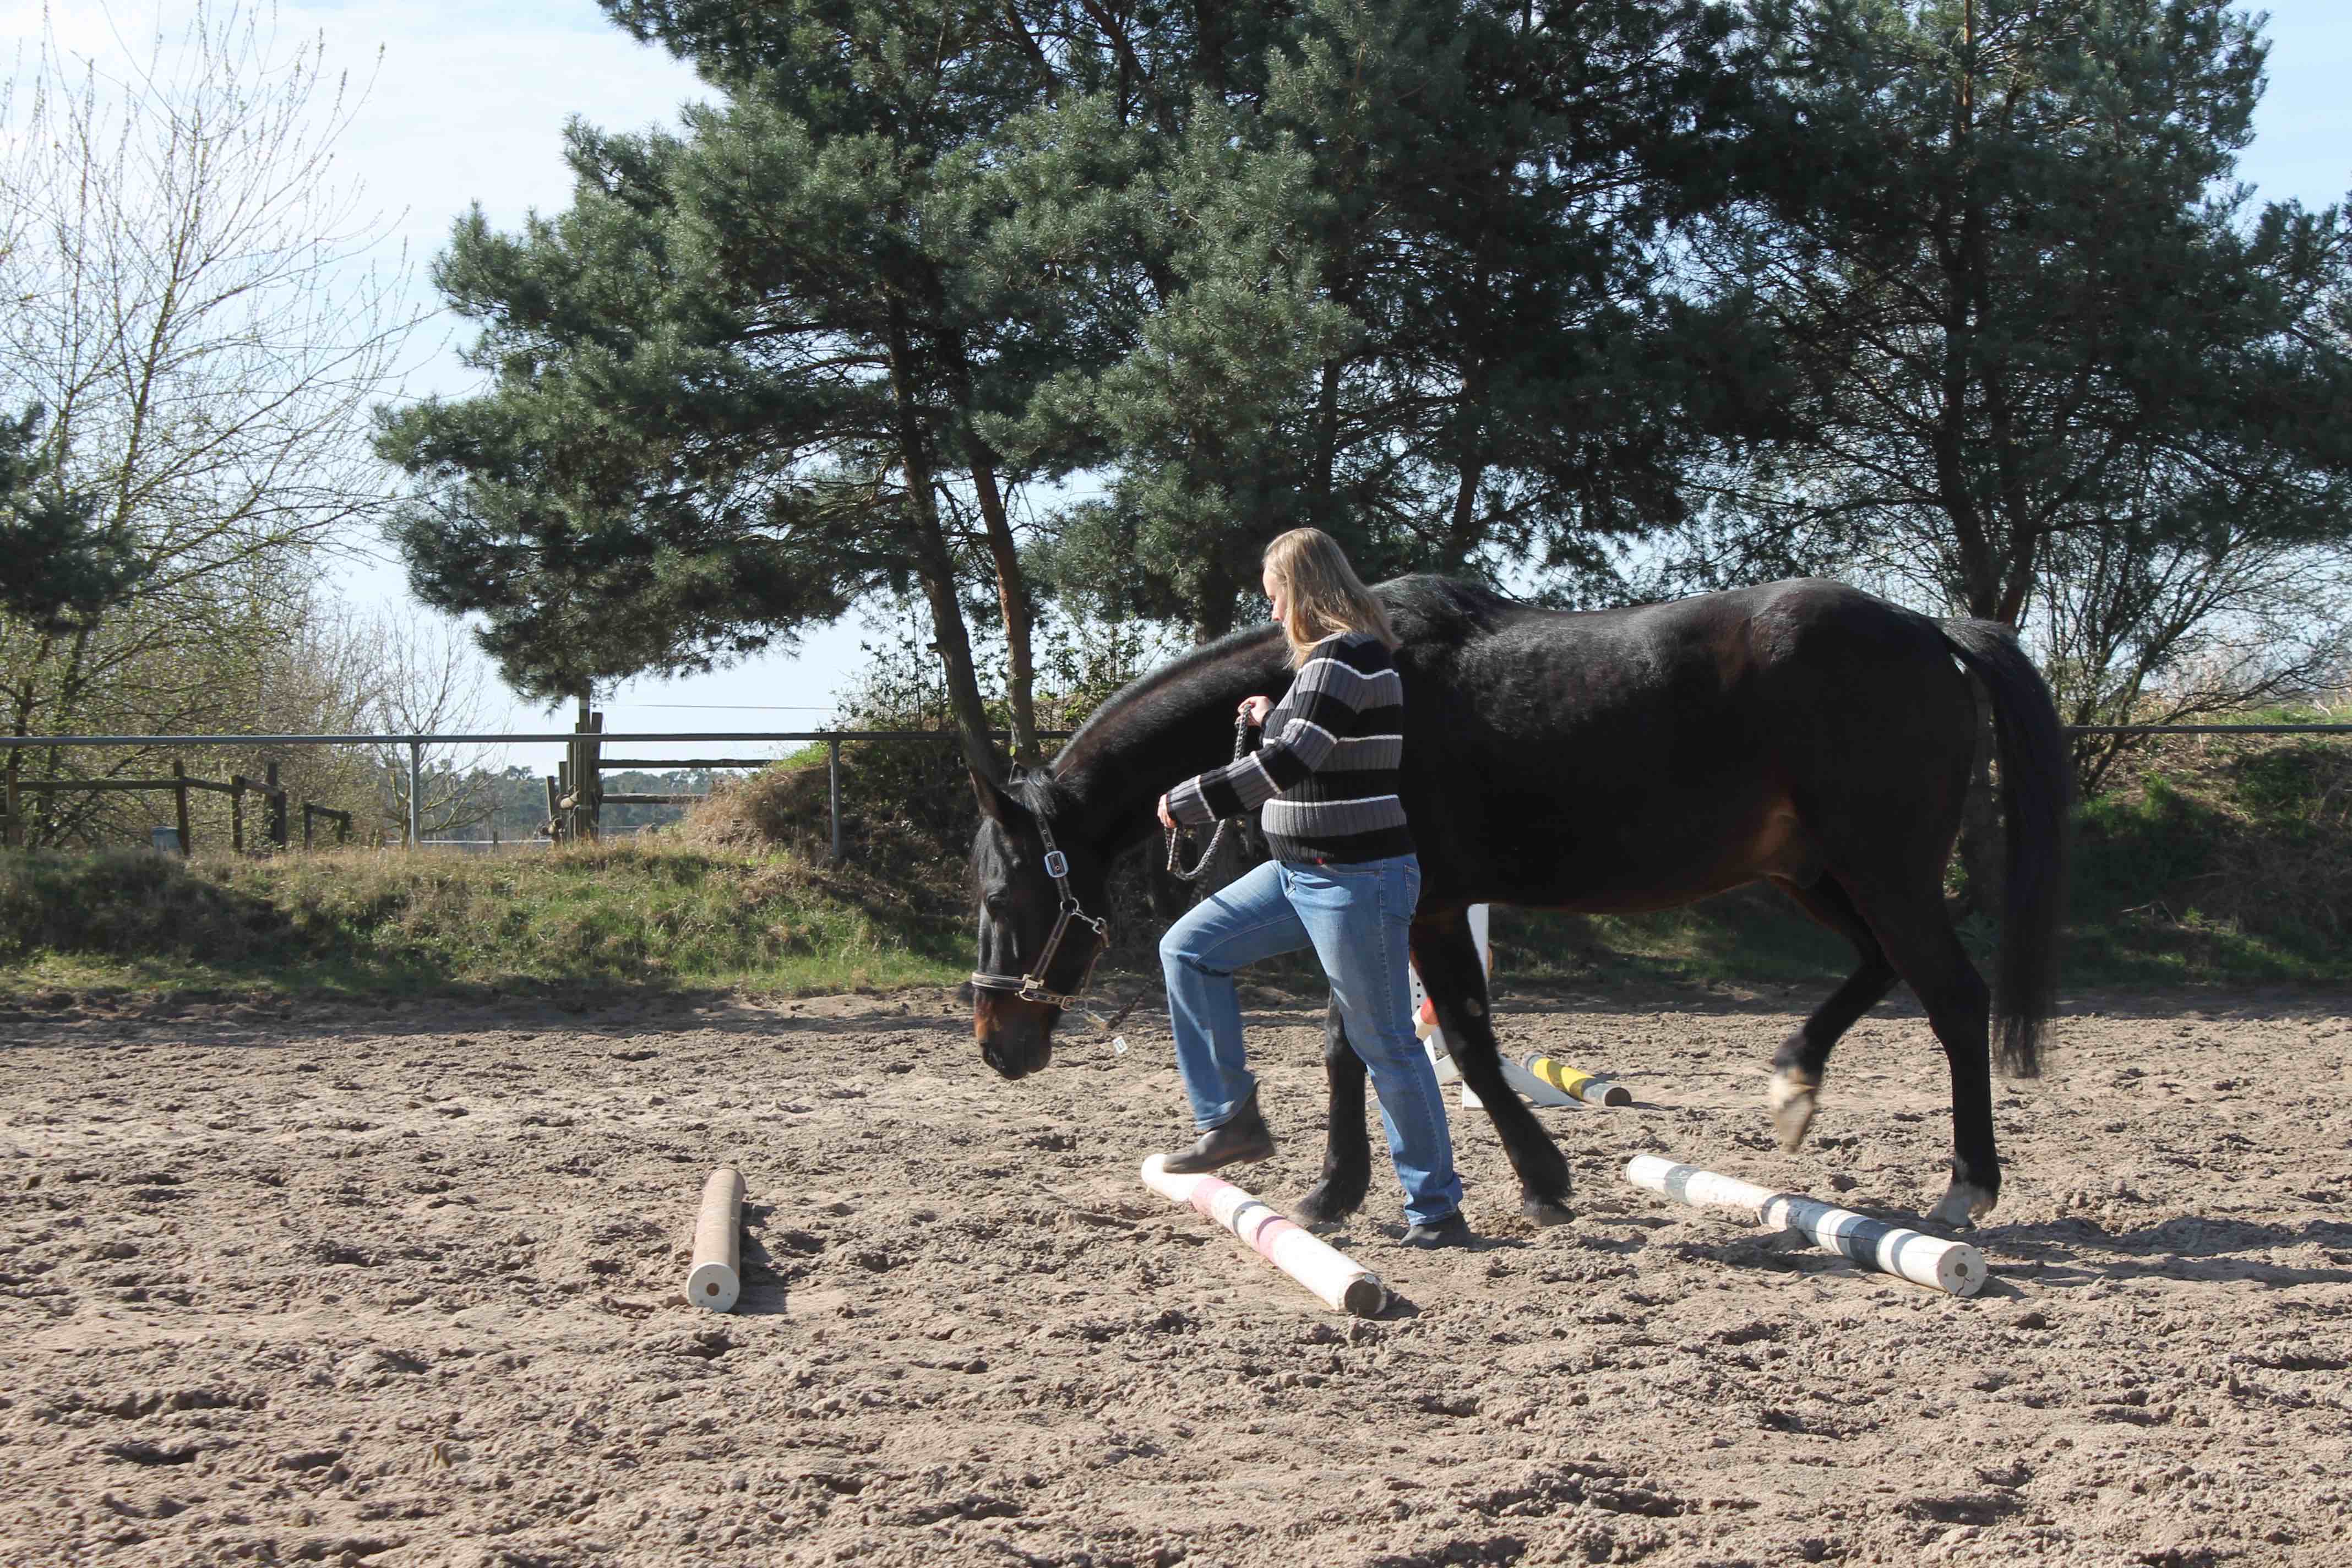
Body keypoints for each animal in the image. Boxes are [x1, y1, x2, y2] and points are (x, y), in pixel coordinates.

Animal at [967, 575, 2067, 1229]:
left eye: (1005, 891)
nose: (995, 1044)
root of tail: (1925, 626)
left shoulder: (1413, 905)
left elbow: (1441, 1040)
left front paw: (1529, 1180)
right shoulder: (1383, 904)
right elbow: (1379, 1042)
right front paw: (1353, 1189)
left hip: (1882, 871)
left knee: (1955, 997)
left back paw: (1965, 1188)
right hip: (1820, 877)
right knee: (1884, 971)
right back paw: (1794, 1084)